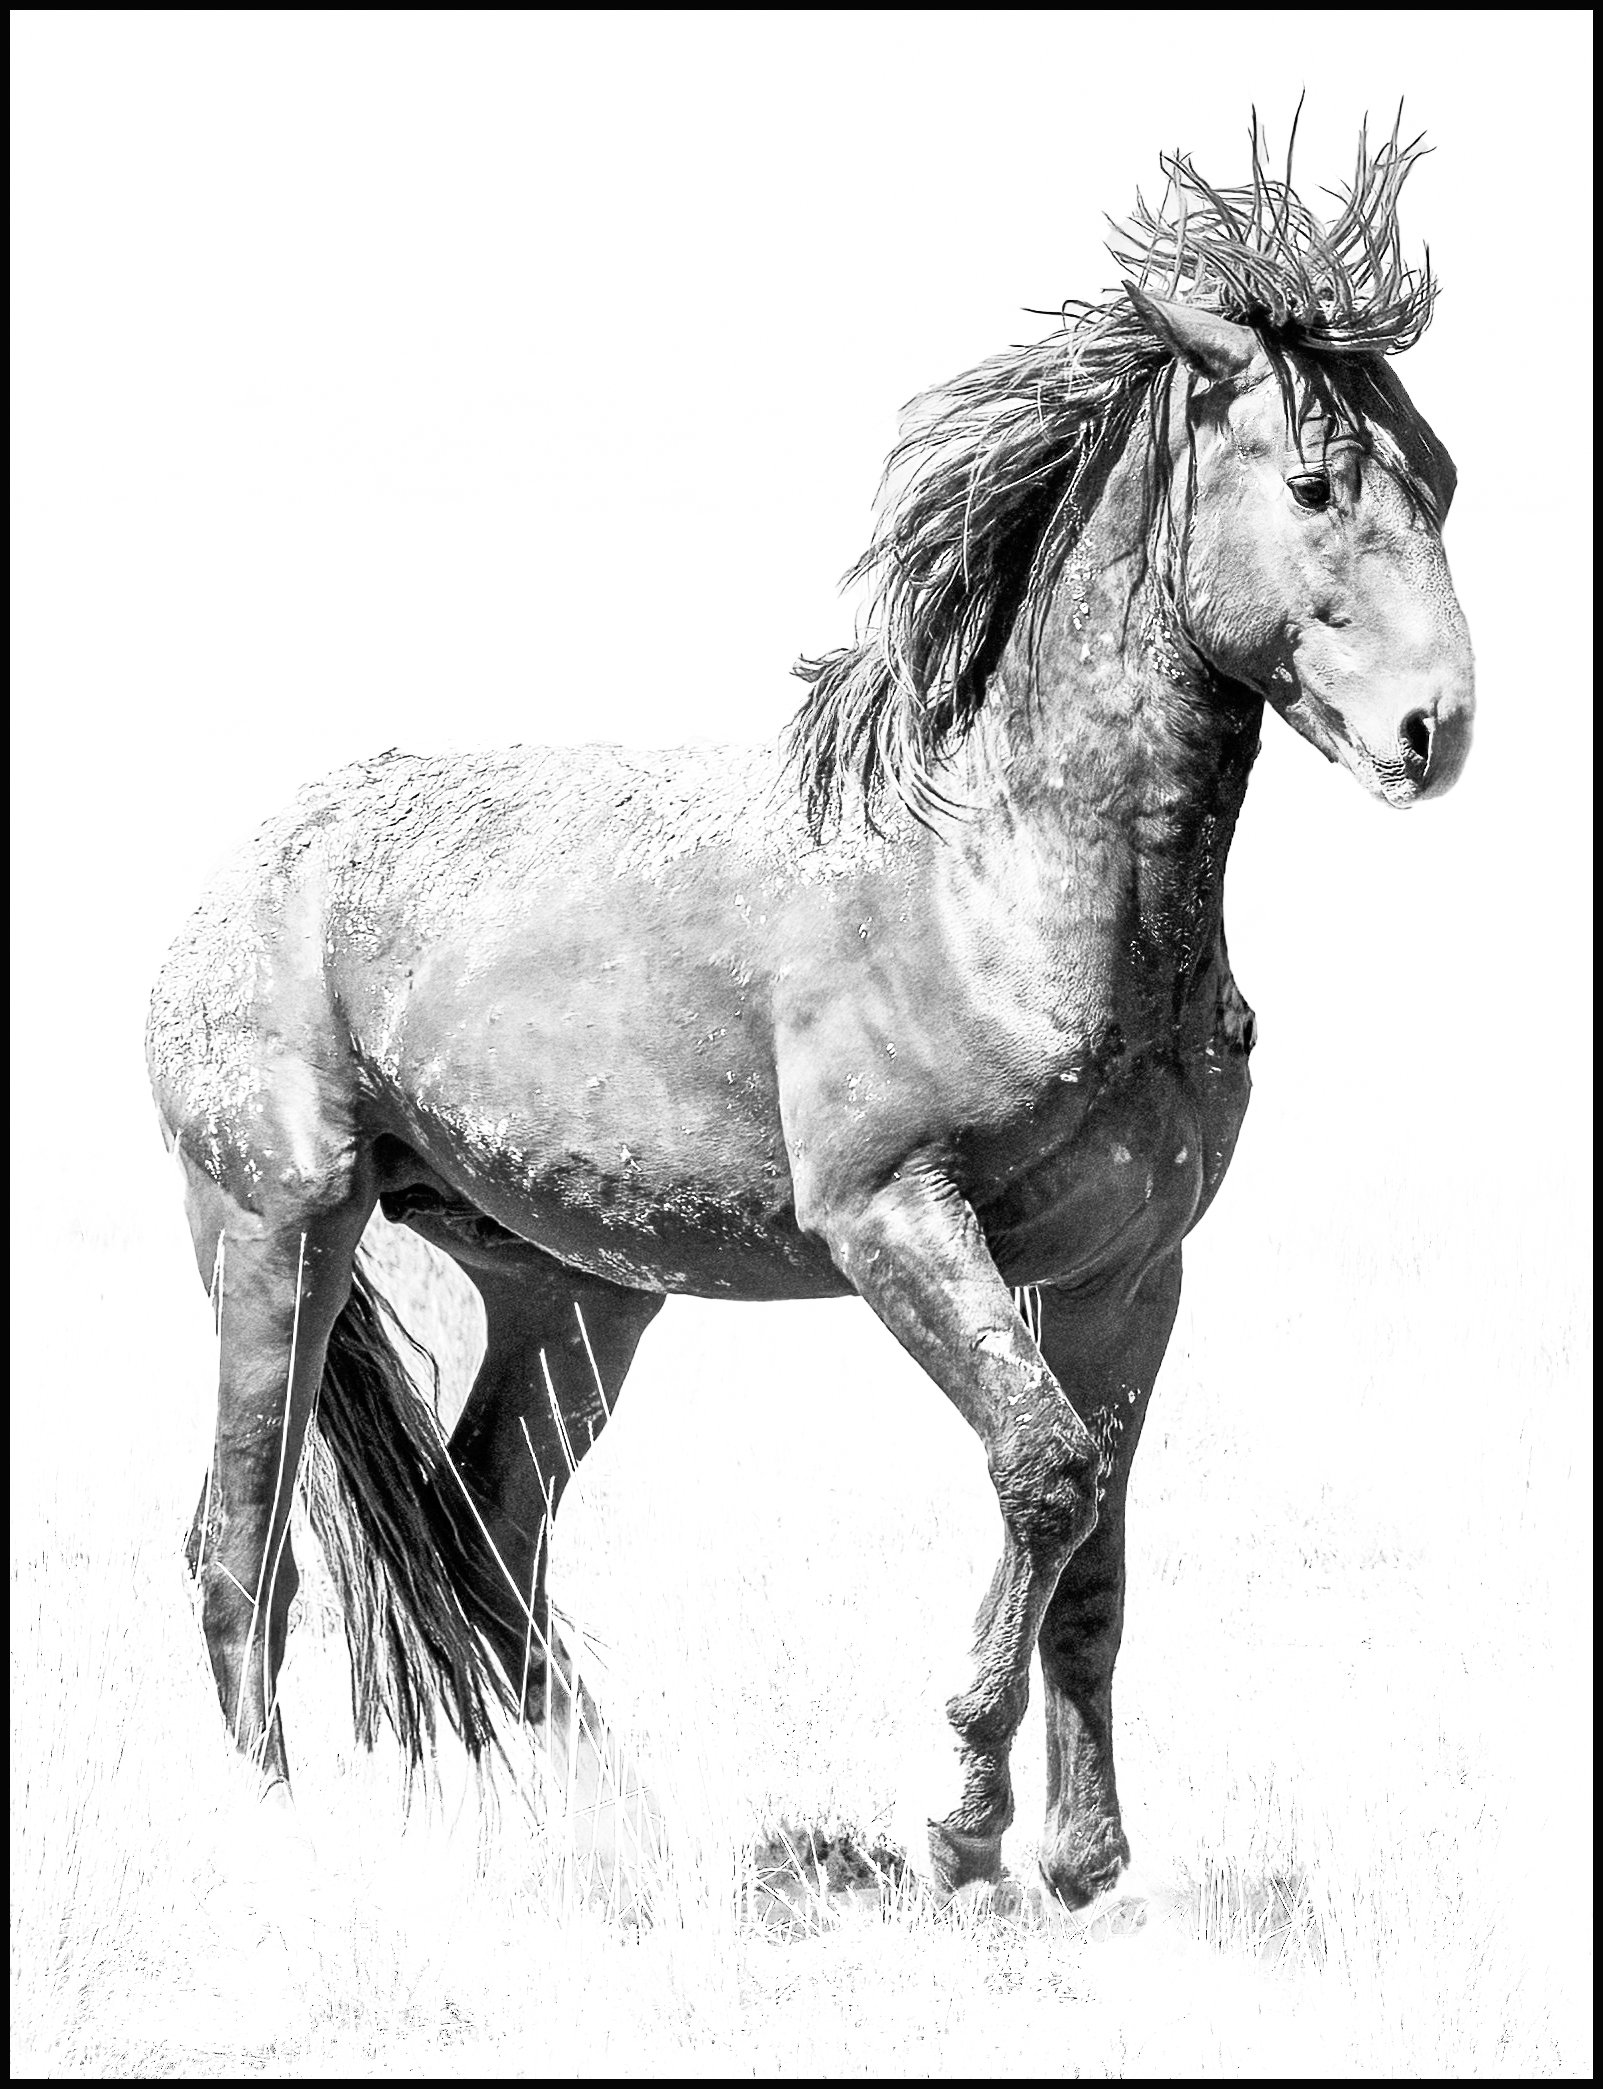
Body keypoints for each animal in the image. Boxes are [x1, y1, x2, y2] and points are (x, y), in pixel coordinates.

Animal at [147, 117, 1473, 1911]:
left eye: (1441, 477)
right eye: (1316, 481)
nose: (1431, 728)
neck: (1004, 873)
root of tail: (231, 875)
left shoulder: (1125, 1271)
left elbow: (1098, 1545)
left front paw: (1083, 1856)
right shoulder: (894, 1219)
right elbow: (1044, 1473)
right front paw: (963, 1819)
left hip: (571, 1297)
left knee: (491, 1538)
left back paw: (613, 1832)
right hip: (276, 1229)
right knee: (243, 1548)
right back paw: (284, 1845)